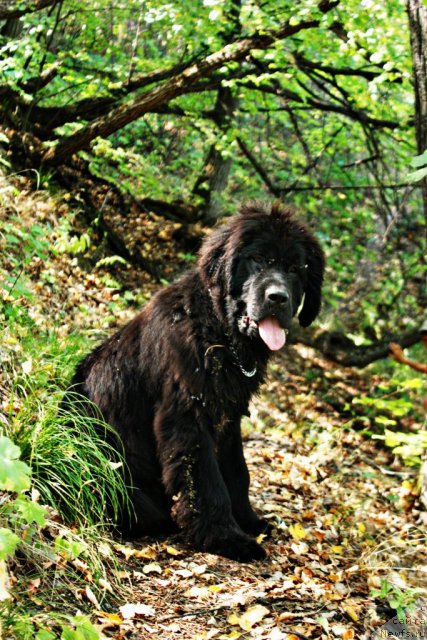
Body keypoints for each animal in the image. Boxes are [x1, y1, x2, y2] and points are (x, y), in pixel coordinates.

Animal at [67, 200, 326, 560]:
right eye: (258, 259)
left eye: (294, 268)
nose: (278, 297)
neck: (218, 334)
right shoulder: (187, 416)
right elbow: (207, 481)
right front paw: (225, 537)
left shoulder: (229, 414)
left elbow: (237, 471)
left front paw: (248, 520)